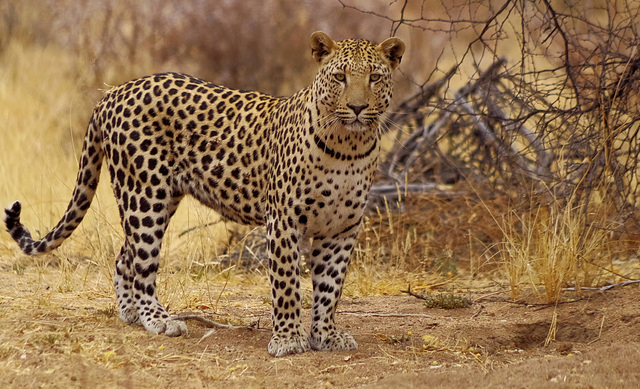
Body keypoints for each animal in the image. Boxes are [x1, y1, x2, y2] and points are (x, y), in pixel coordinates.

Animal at [3, 31, 404, 356]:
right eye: (340, 77)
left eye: (375, 77)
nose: (357, 107)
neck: (349, 146)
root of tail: (114, 91)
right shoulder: (284, 221)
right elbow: (288, 284)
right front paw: (288, 340)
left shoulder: (342, 229)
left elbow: (330, 288)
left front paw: (326, 336)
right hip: (144, 197)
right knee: (142, 263)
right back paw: (158, 319)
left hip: (158, 198)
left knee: (124, 256)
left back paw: (130, 313)